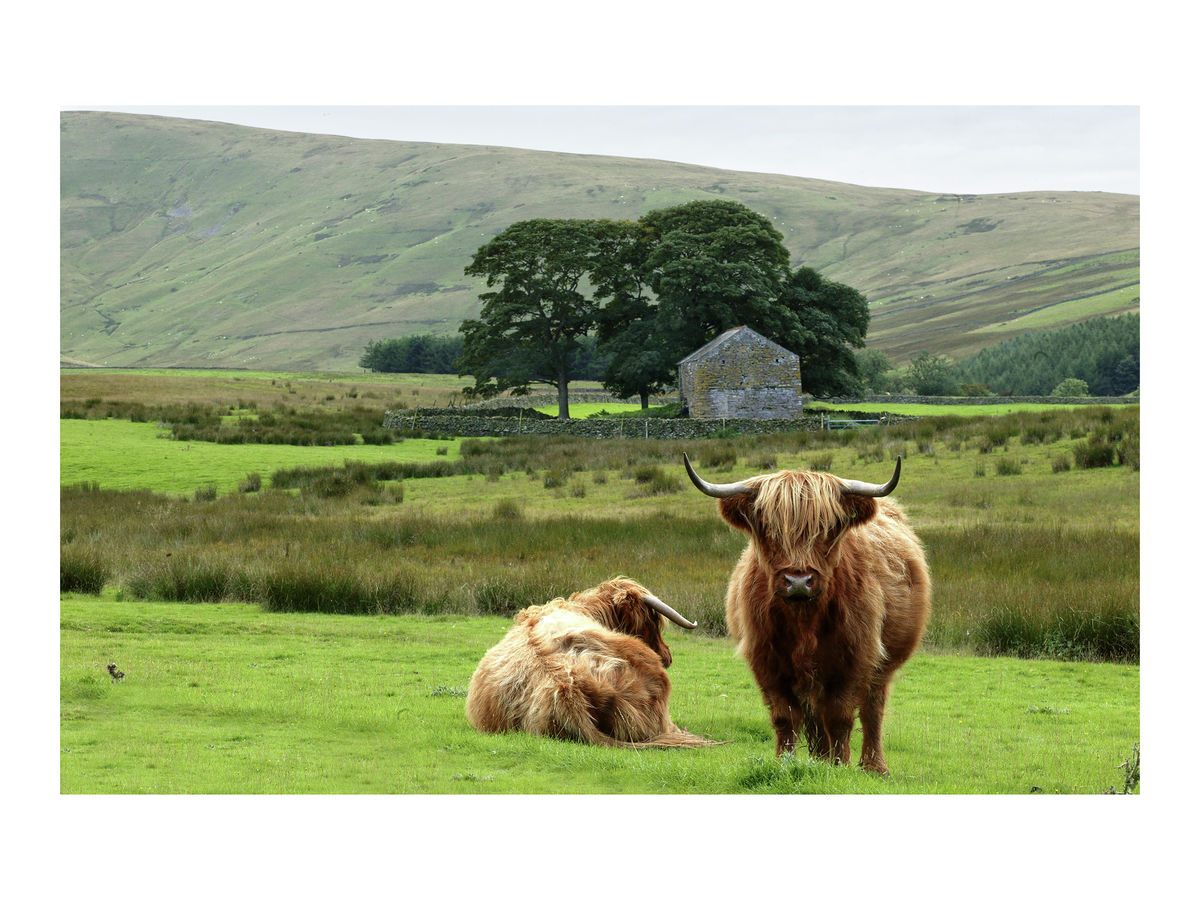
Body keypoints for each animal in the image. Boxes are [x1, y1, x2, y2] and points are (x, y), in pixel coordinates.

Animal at [684, 453, 930, 774]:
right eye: (769, 528)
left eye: (828, 528)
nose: (798, 581)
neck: (803, 620)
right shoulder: (765, 662)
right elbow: (784, 717)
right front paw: (784, 764)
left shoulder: (854, 658)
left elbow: (840, 717)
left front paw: (839, 767)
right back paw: (820, 760)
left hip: (882, 666)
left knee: (872, 710)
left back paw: (874, 767)